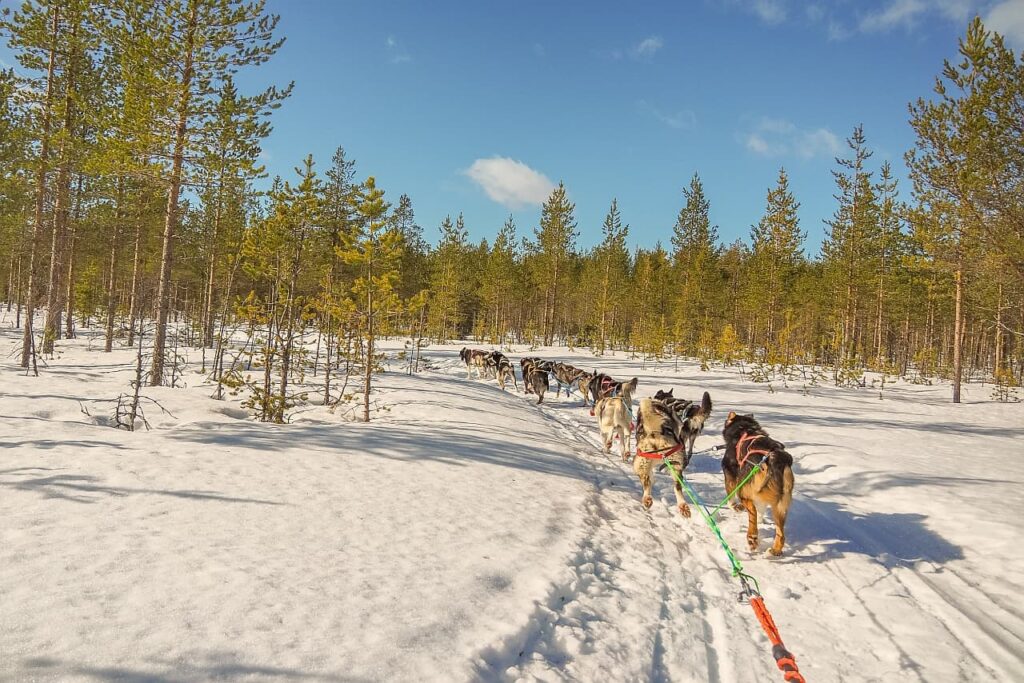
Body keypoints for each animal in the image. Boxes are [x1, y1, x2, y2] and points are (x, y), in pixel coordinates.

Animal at [720, 411, 790, 557]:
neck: (745, 428)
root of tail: (774, 459)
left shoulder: (729, 471)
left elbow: (730, 498)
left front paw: (734, 507)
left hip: (744, 490)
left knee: (752, 511)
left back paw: (752, 537)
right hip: (780, 506)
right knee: (780, 534)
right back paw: (774, 551)